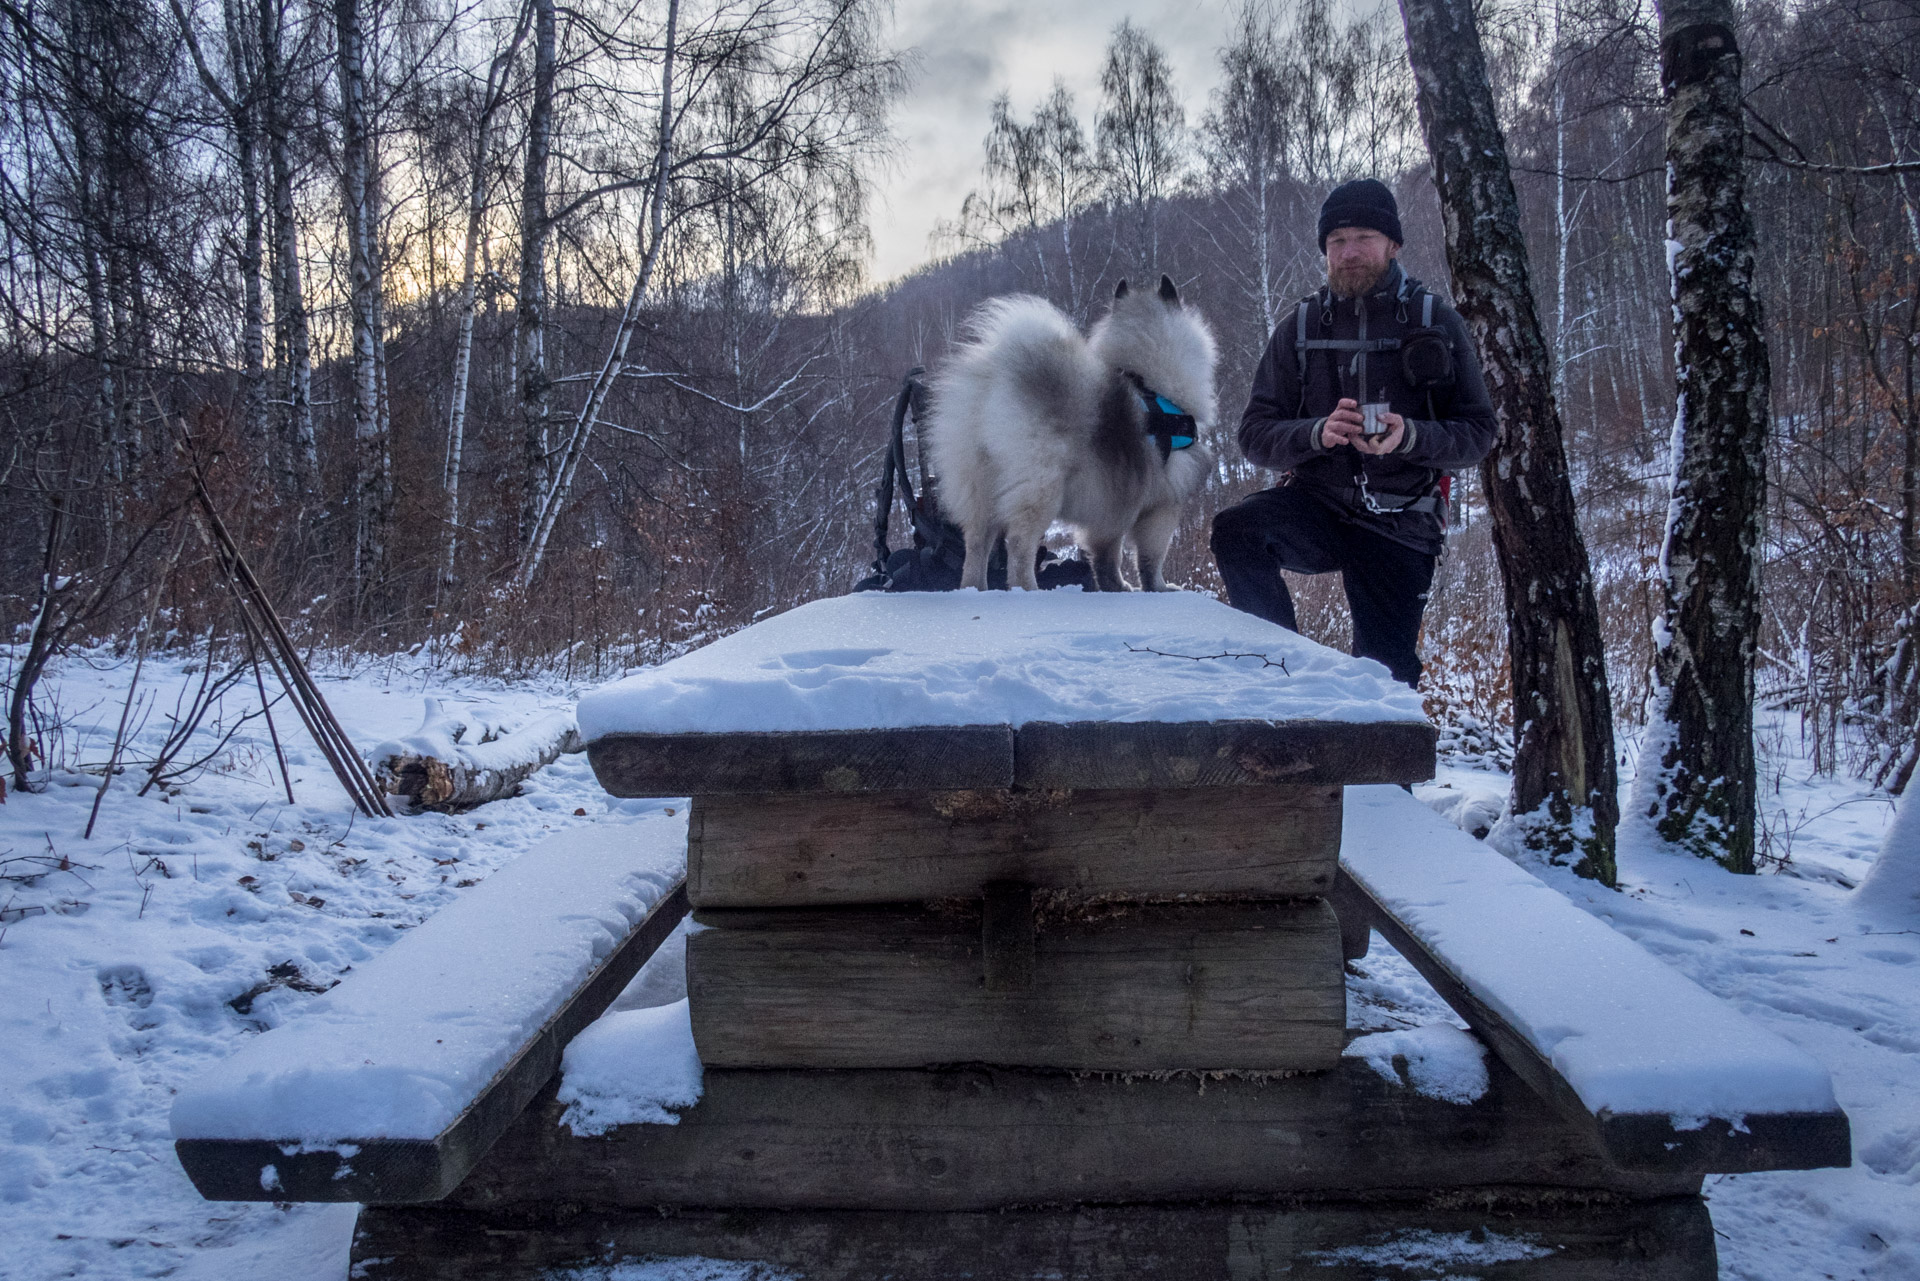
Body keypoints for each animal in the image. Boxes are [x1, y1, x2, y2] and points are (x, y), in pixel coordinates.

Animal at [917, 278, 1213, 595]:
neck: (1148, 381)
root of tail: (994, 381)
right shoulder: (1160, 505)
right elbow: (1148, 558)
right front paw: (1155, 587)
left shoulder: (1111, 509)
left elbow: (1108, 555)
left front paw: (1115, 586)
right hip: (1041, 488)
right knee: (1019, 543)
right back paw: (1027, 589)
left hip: (979, 487)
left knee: (976, 543)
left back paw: (976, 588)